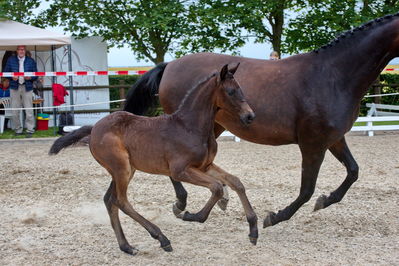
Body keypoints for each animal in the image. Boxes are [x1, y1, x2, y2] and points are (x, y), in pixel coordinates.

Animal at [49, 65, 260, 256]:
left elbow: (235, 182)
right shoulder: (180, 170)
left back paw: (127, 247)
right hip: (121, 169)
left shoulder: (205, 166)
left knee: (110, 200)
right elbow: (216, 187)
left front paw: (253, 230)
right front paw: (191, 215)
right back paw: (161, 238)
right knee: (121, 201)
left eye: (241, 89)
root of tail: (93, 129)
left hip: (127, 170)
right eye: (231, 91)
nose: (250, 116)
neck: (189, 126)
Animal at [124, 13, 399, 229]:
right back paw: (182, 202)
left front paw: (324, 201)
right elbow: (306, 189)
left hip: (213, 126)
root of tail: (170, 65)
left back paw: (218, 199)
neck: (332, 75)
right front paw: (275, 217)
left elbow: (353, 171)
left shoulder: (334, 139)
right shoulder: (313, 144)